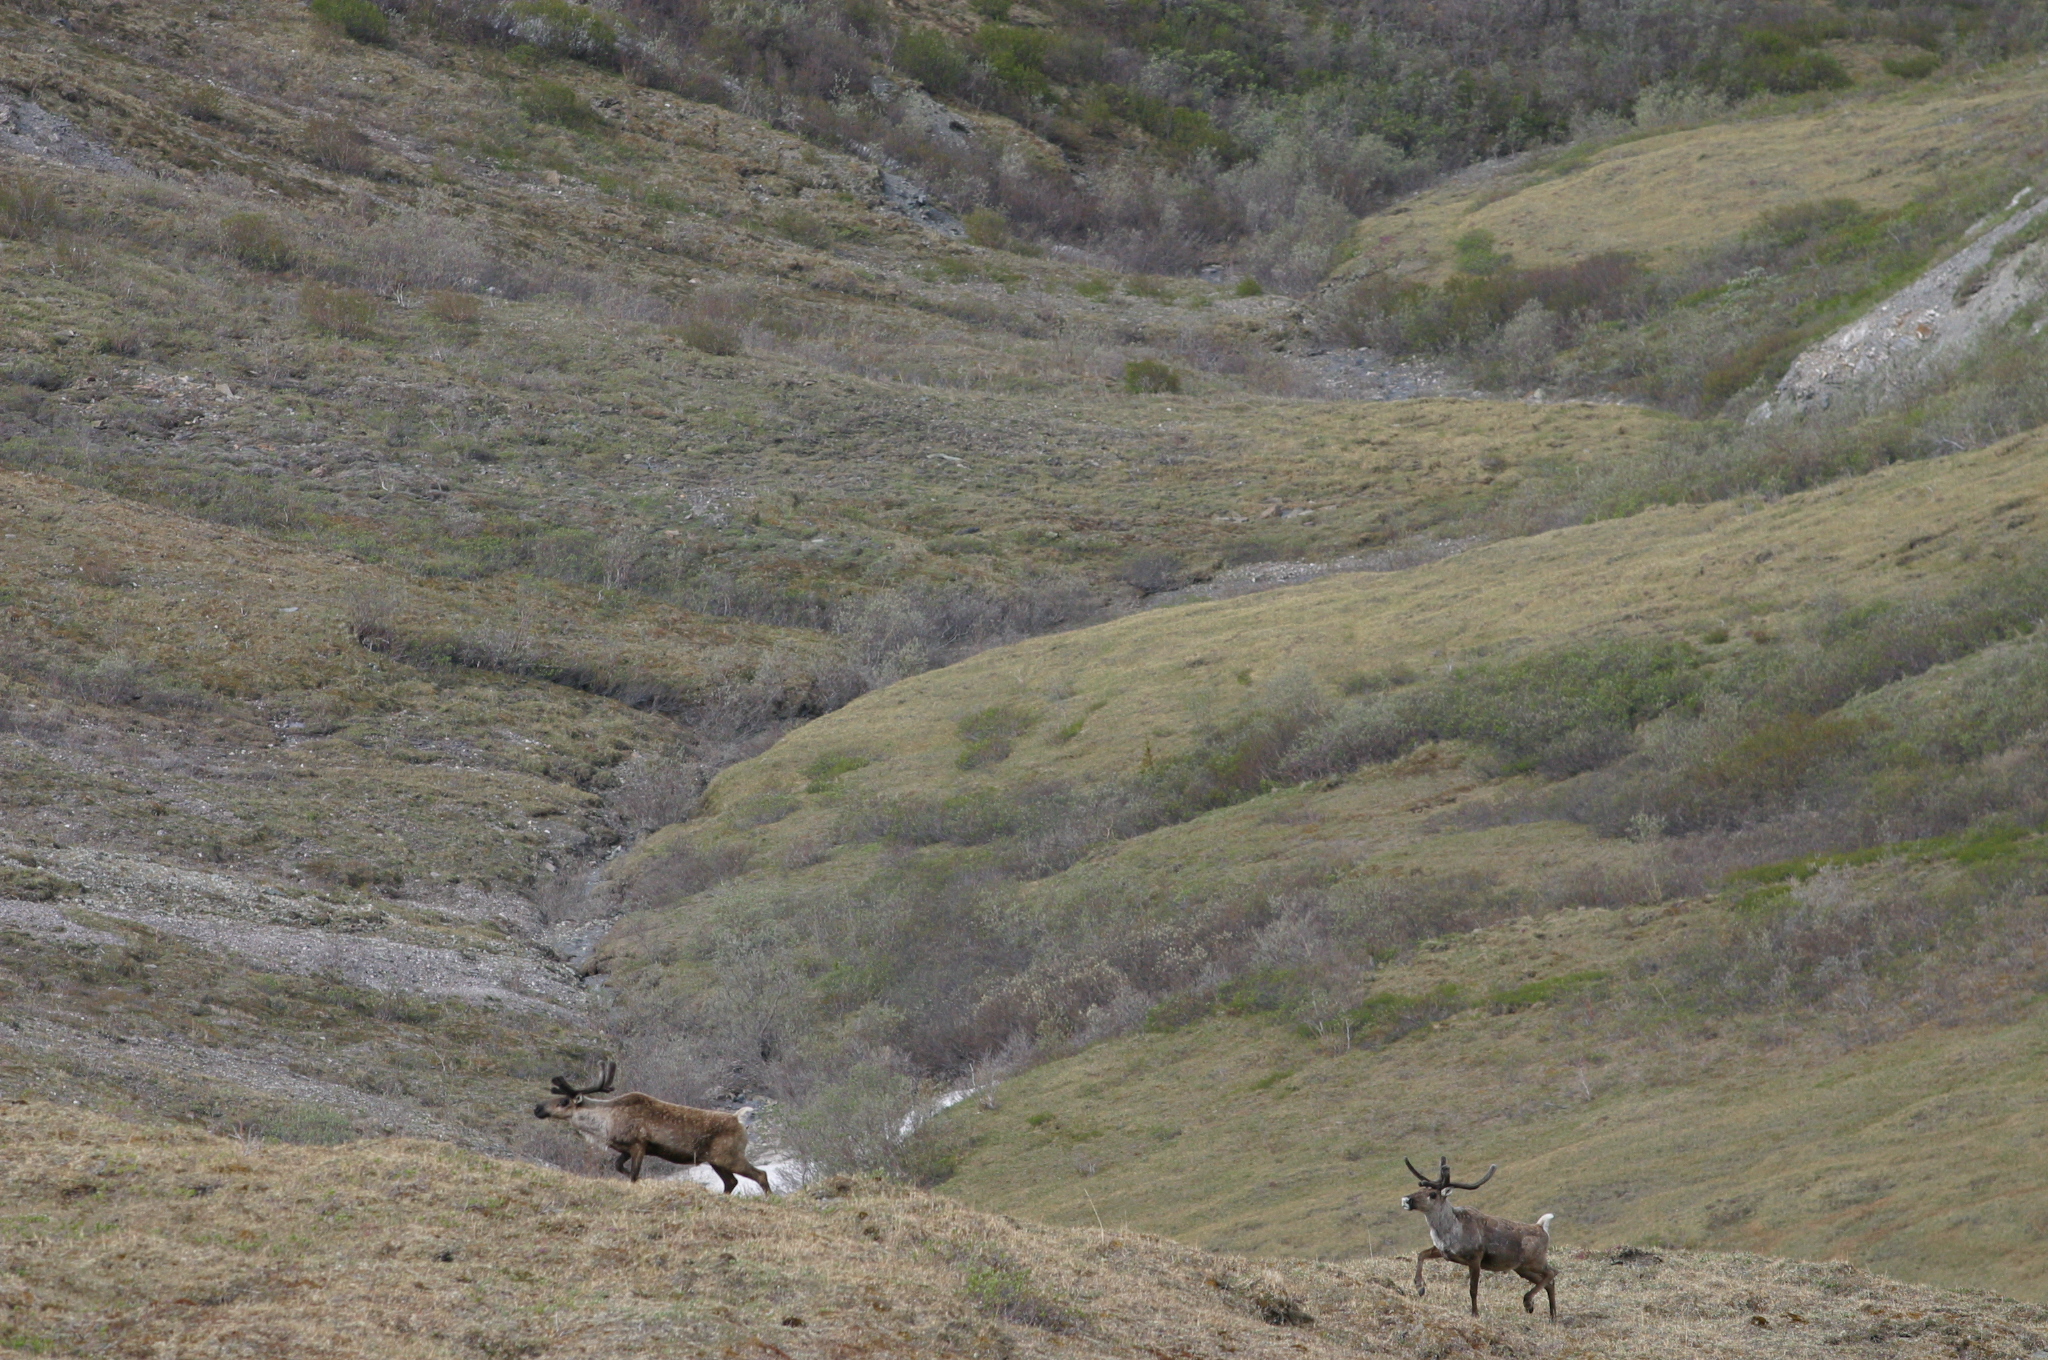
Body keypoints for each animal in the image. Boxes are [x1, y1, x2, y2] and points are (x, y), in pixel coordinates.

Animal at [533, 1061, 772, 1194]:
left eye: (564, 1101)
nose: (537, 1108)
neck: (606, 1121)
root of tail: (738, 1120)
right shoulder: (625, 1149)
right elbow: (618, 1167)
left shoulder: (639, 1145)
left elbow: (633, 1174)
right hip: (716, 1161)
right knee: (731, 1182)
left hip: (730, 1157)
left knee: (760, 1174)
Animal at [1400, 1156, 1556, 1317]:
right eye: (1421, 1189)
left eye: (1433, 1194)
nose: (1406, 1200)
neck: (1450, 1229)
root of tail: (1542, 1228)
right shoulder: (1444, 1252)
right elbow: (1421, 1254)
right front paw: (1420, 1287)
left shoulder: (1475, 1257)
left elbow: (1473, 1289)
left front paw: (1475, 1313)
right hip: (1521, 1267)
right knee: (1548, 1282)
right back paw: (1551, 1315)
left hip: (1535, 1261)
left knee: (1552, 1273)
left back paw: (1528, 1302)